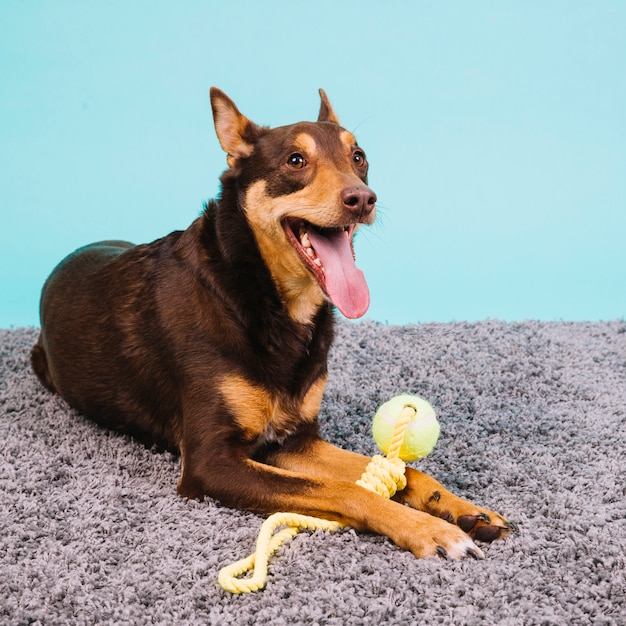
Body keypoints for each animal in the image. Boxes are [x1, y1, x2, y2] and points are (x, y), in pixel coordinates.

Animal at [30, 86, 512, 556]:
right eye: (295, 161)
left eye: (359, 157)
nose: (362, 198)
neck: (265, 299)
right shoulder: (210, 461)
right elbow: (344, 489)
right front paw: (427, 529)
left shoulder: (296, 440)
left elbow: (405, 472)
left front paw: (462, 509)